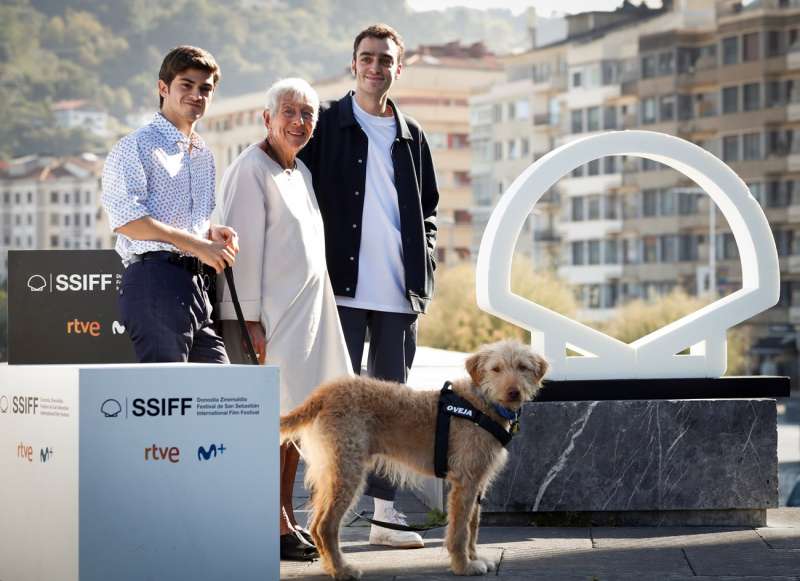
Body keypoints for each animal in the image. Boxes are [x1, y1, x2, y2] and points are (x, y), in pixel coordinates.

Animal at [282, 338, 552, 576]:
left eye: (522, 367)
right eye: (496, 369)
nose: (514, 392)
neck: (480, 405)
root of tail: (324, 393)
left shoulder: (478, 482)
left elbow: (472, 525)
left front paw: (474, 558)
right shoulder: (464, 482)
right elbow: (460, 530)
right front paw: (463, 566)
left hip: (333, 474)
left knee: (316, 525)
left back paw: (330, 567)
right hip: (347, 472)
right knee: (325, 526)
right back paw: (341, 570)